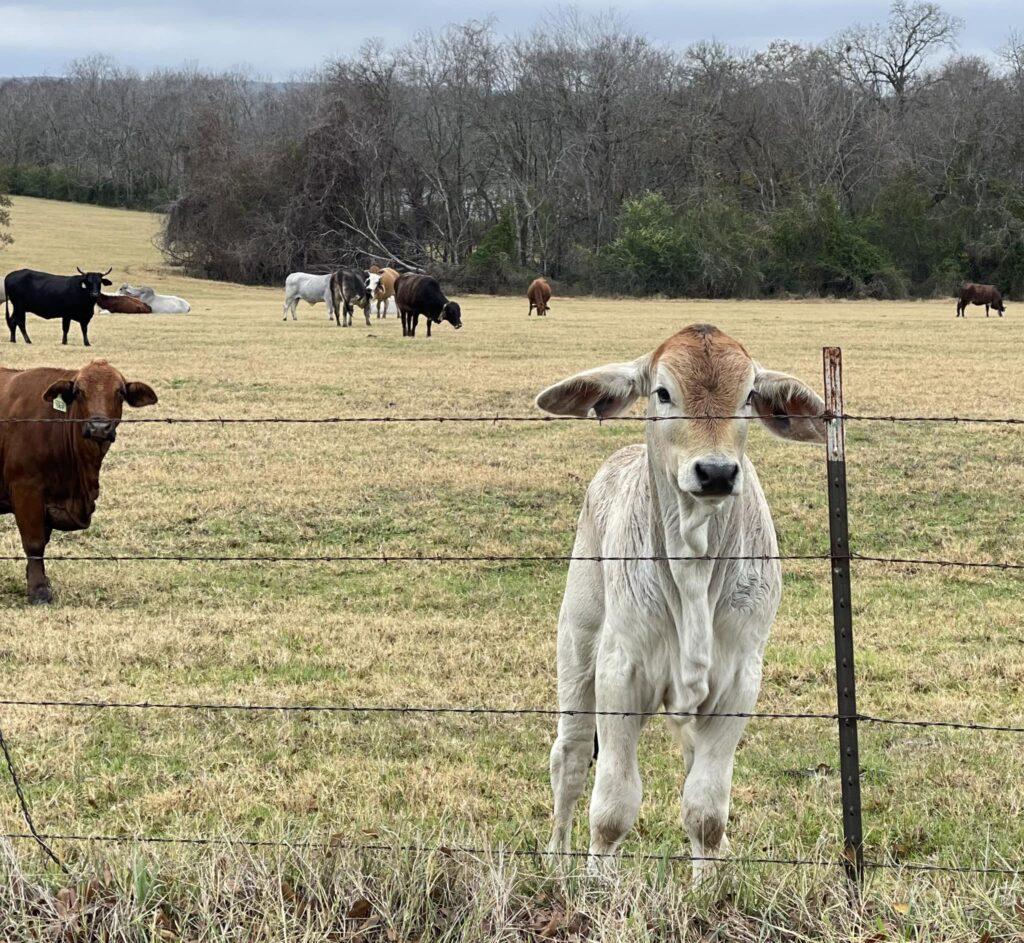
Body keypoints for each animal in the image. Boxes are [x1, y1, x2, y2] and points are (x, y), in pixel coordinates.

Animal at [0, 360, 157, 602]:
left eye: (120, 392)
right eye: (79, 392)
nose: (99, 428)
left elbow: (43, 540)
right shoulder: (26, 489)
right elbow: (34, 543)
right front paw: (38, 590)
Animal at [540, 321, 827, 884]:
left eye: (748, 396)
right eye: (663, 392)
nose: (716, 473)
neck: (693, 563)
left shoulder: (737, 683)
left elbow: (706, 810)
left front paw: (709, 887)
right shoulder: (620, 675)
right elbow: (612, 807)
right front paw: (598, 886)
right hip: (577, 649)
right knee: (571, 758)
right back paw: (559, 863)